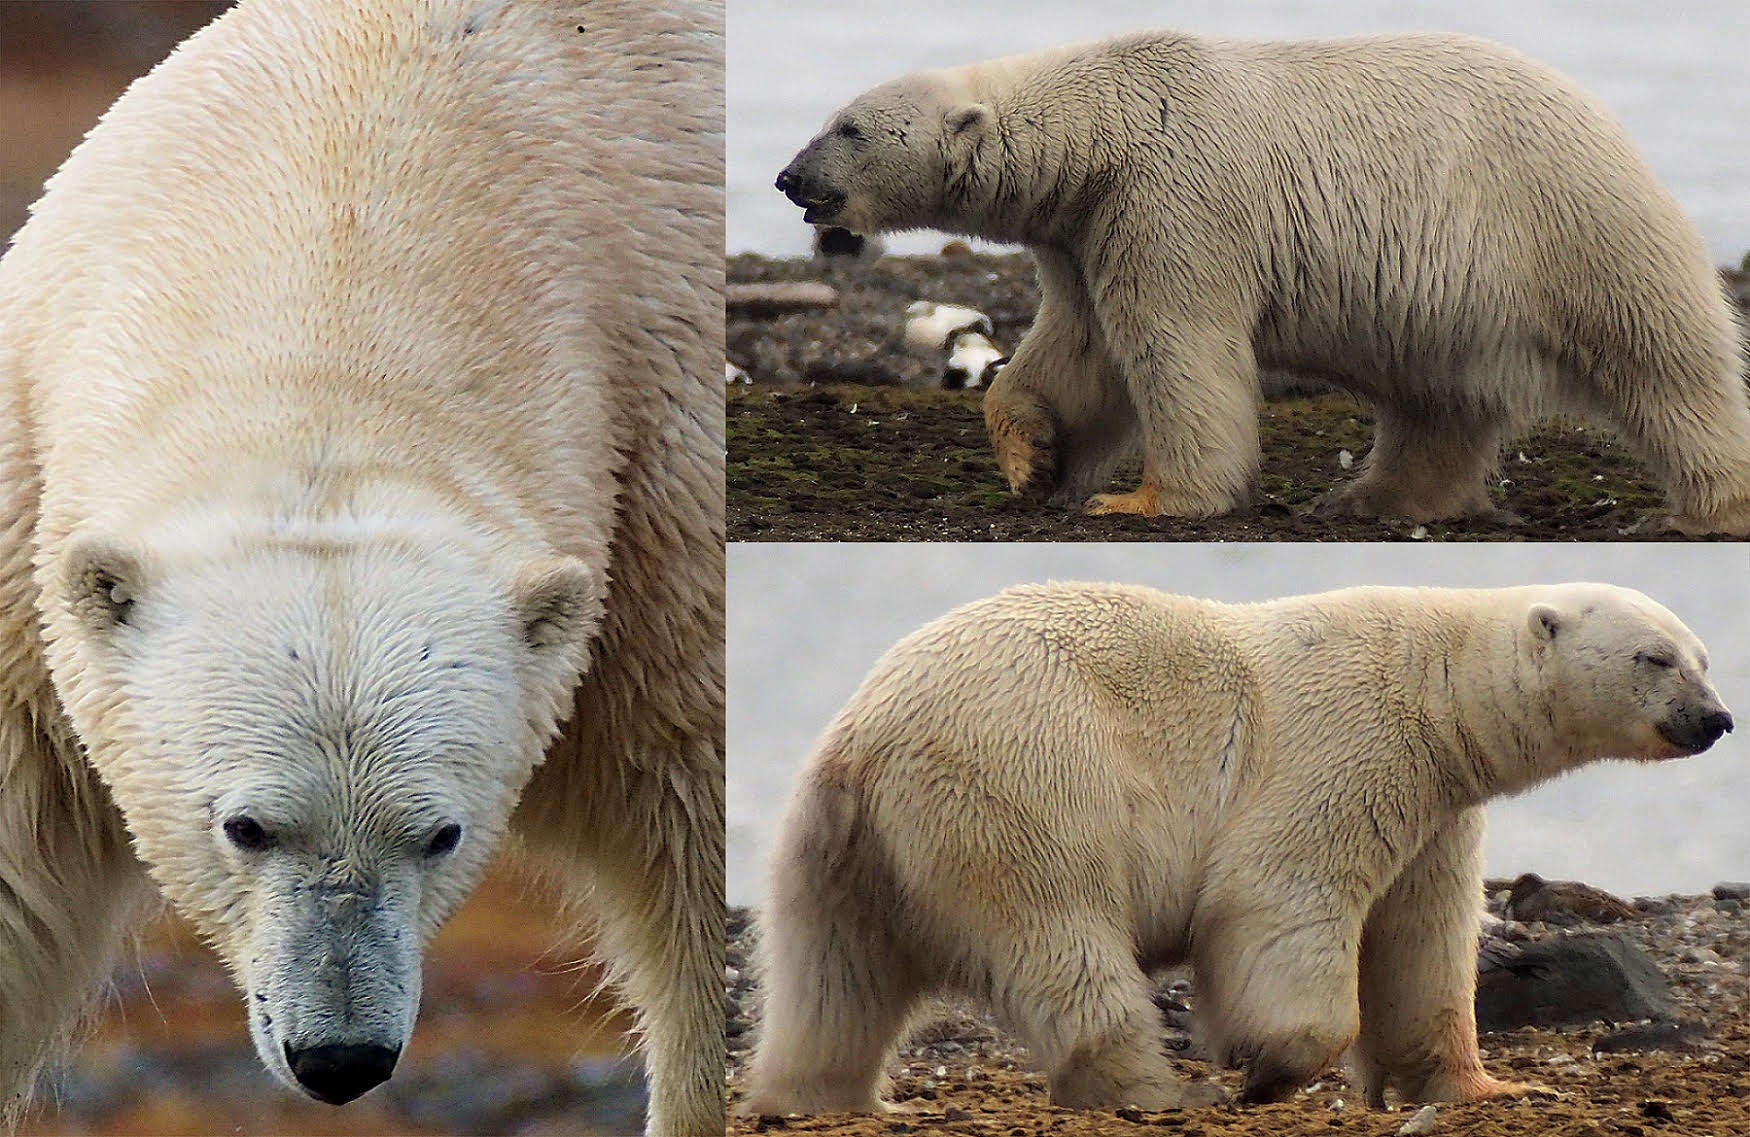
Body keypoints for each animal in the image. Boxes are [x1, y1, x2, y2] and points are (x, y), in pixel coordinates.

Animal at [745, 580, 1729, 1112]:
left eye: (1704, 654)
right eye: (1654, 657)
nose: (1716, 719)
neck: (1437, 682)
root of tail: (864, 738)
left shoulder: (1438, 805)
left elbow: (1419, 941)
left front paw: (1494, 1088)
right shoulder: (1351, 740)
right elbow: (1278, 895)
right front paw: (1267, 1068)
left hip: (842, 849)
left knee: (833, 974)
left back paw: (819, 1094)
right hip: (1025, 781)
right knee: (1062, 937)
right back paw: (1162, 1088)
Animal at [777, 31, 1750, 535]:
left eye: (849, 126)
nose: (789, 177)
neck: (1103, 127)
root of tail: (1610, 124)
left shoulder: (1172, 197)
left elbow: (1176, 350)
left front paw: (1141, 497)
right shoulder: (1087, 230)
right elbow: (1077, 352)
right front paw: (1033, 457)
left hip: (1565, 226)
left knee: (1665, 359)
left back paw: (1705, 507)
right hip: (1452, 299)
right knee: (1434, 400)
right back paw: (1366, 496)